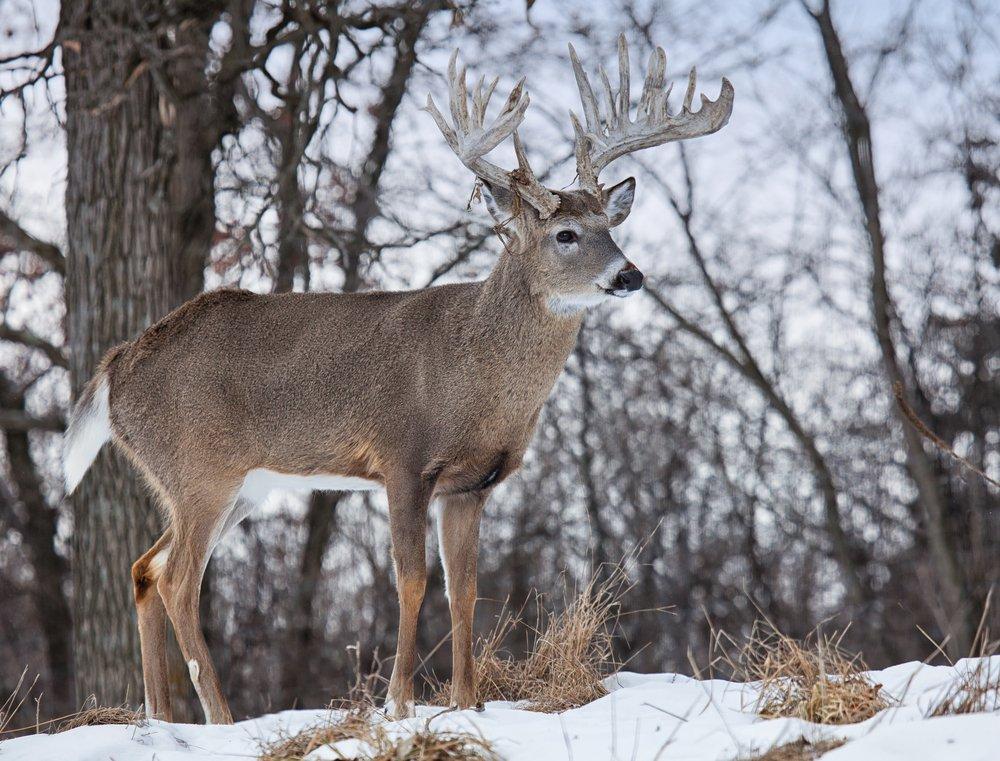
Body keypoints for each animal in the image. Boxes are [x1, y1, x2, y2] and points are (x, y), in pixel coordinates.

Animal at [64, 35, 736, 724]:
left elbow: (465, 589)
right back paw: (220, 718)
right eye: (565, 234)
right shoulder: (402, 458)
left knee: (146, 567)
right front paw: (398, 704)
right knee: (178, 580)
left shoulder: (472, 485)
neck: (477, 378)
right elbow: (410, 580)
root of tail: (116, 365)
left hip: (234, 485)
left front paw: (468, 705)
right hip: (199, 469)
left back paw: (160, 717)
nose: (630, 274)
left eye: (611, 227)